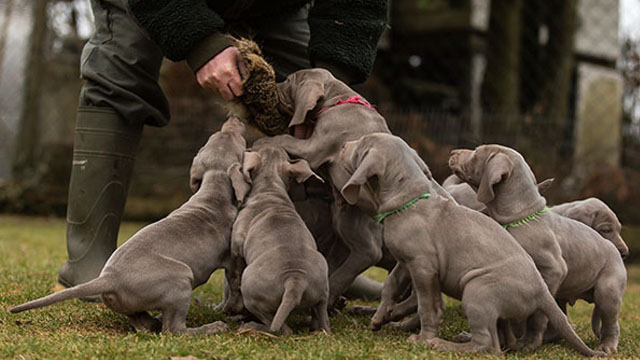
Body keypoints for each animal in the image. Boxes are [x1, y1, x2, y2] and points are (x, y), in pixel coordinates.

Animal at [10, 118, 250, 334]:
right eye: (238, 140)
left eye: (216, 136)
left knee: (142, 324)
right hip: (182, 278)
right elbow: (234, 283)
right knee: (173, 330)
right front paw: (232, 309)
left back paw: (153, 321)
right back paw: (210, 328)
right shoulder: (231, 259)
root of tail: (109, 279)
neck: (212, 191)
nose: (234, 118)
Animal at [225, 146, 330, 334]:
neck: (270, 188)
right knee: (324, 320)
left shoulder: (236, 246)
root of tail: (295, 281)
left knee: (280, 328)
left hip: (251, 290)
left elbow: (234, 277)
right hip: (322, 289)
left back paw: (252, 326)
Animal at [252, 68, 392, 306]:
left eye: (288, 81)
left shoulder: (314, 148)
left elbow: (285, 139)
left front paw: (260, 143)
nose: (273, 86)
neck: (337, 99)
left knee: (368, 252)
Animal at [338, 134, 604, 356]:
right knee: (500, 341)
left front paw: (424, 338)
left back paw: (443, 344)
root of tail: (542, 292)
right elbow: (391, 286)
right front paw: (381, 316)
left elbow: (427, 306)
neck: (411, 201)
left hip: (477, 290)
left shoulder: (423, 266)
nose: (342, 145)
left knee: (486, 345)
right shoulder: (407, 261)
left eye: (361, 146)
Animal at [450, 143, 624, 352]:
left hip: (608, 291)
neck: (516, 219)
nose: (453, 152)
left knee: (610, 324)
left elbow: (537, 315)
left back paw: (607, 346)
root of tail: (616, 252)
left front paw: (529, 342)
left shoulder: (553, 271)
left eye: (476, 152)